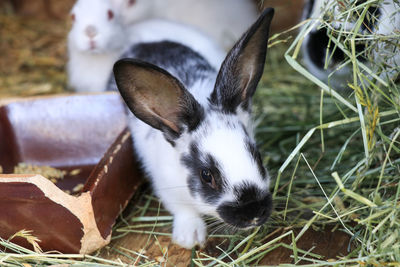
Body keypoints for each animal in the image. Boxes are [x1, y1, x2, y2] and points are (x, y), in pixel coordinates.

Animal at [112, 8, 276, 251]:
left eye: (257, 156)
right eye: (207, 175)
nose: (254, 214)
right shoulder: (167, 186)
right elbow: (184, 210)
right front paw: (189, 237)